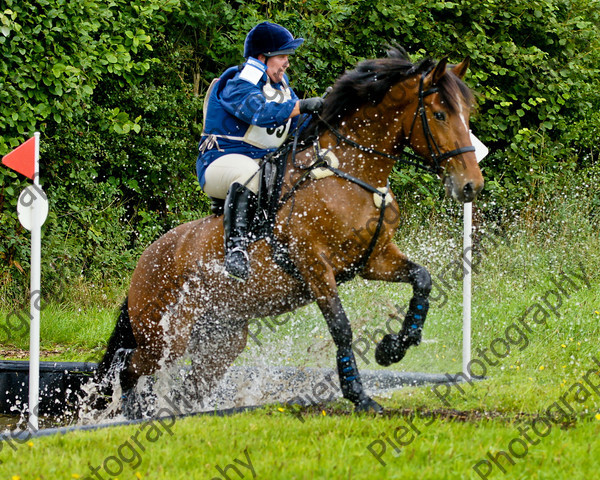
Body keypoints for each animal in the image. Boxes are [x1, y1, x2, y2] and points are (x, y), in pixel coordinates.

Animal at [96, 49, 486, 416]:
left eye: (467, 115)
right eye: (440, 115)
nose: (471, 186)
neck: (352, 175)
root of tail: (144, 263)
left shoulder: (373, 259)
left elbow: (423, 279)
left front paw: (392, 348)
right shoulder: (313, 263)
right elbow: (341, 326)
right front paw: (358, 395)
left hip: (222, 339)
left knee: (187, 388)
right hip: (165, 337)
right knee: (127, 366)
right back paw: (127, 412)